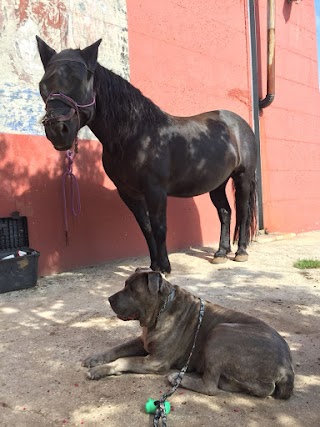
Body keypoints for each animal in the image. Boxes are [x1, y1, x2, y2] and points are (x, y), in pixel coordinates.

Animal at [37, 37, 258, 274]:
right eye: (43, 85)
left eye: (78, 81)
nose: (57, 130)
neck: (136, 134)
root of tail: (239, 123)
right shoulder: (129, 193)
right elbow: (146, 228)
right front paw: (154, 265)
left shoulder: (156, 191)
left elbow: (160, 227)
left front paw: (165, 268)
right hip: (217, 183)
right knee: (225, 212)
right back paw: (220, 253)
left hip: (242, 177)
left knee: (243, 211)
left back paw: (241, 252)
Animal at [83, 270, 296, 400]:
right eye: (124, 284)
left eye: (133, 289)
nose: (109, 299)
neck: (160, 310)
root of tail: (287, 368)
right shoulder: (142, 341)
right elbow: (118, 348)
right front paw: (95, 359)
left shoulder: (155, 361)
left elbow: (124, 360)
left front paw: (99, 370)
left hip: (221, 333)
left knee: (210, 387)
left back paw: (178, 378)